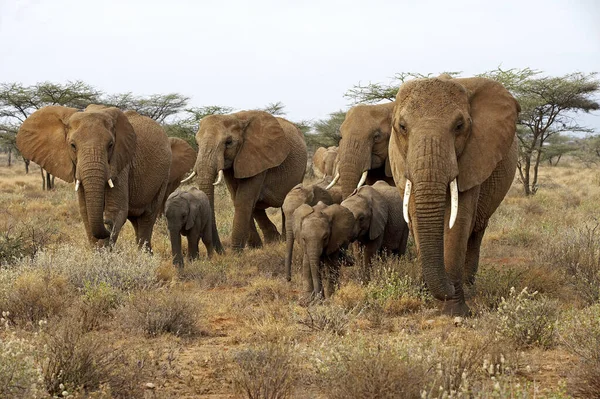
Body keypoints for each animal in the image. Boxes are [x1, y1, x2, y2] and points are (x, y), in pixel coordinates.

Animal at [16, 105, 171, 250]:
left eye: (110, 145)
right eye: (73, 145)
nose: (106, 222)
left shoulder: (121, 164)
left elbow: (116, 211)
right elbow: (85, 212)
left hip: (164, 176)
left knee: (147, 217)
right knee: (136, 220)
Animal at [183, 111, 308, 252]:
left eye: (229, 142)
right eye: (197, 144)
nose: (222, 252)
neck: (236, 118)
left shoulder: (258, 158)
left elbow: (243, 200)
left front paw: (236, 252)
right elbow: (237, 198)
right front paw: (254, 248)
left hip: (301, 170)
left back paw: (283, 241)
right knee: (256, 207)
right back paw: (273, 241)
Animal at [390, 75, 520, 318]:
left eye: (459, 126)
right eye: (402, 127)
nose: (450, 286)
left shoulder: (475, 157)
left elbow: (458, 222)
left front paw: (455, 311)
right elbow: (415, 215)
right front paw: (426, 296)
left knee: (476, 231)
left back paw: (469, 286)